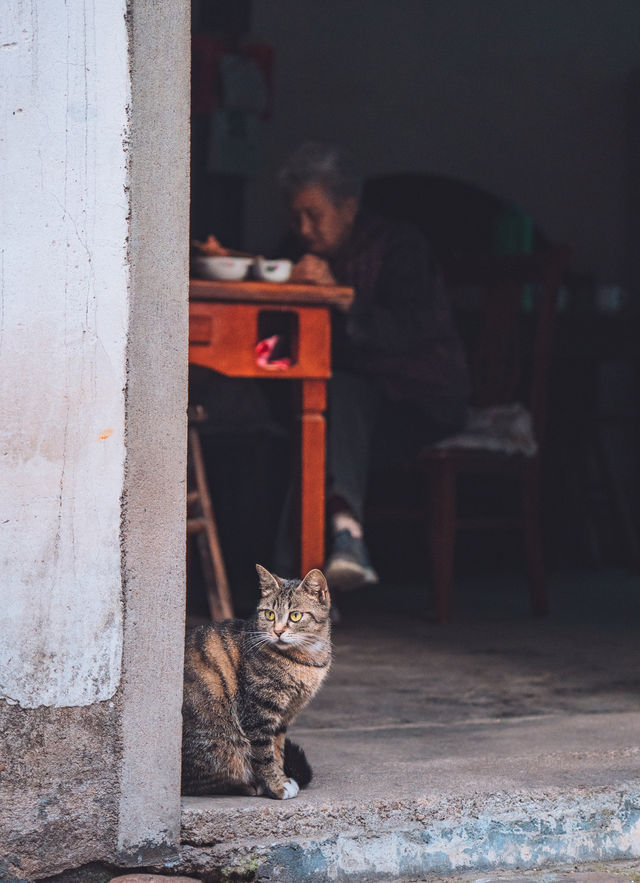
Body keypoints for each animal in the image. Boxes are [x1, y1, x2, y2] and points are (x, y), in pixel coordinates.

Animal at [180, 568, 330, 800]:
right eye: (269, 614)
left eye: (295, 615)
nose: (278, 631)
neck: (306, 658)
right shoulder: (258, 712)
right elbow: (264, 755)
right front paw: (277, 786)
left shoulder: (284, 717)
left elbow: (278, 751)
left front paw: (282, 777)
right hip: (221, 744)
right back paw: (248, 785)